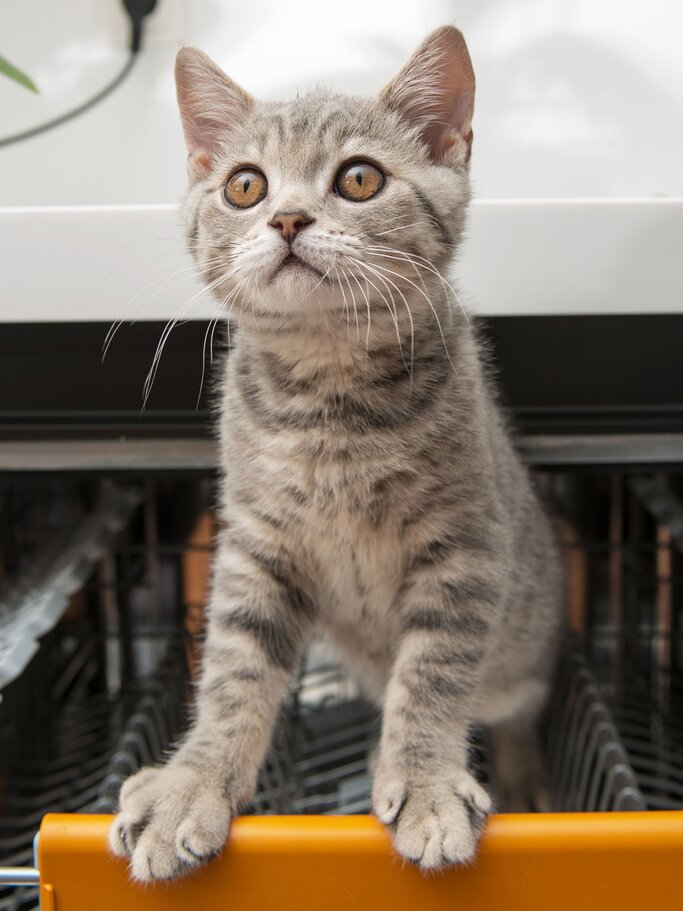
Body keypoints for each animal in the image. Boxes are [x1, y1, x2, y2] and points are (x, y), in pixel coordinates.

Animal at [109, 25, 564, 880]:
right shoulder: (257, 546)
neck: (327, 400)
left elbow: (430, 674)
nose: (287, 219)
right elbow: (233, 669)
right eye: (244, 187)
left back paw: (521, 777)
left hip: (524, 639)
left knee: (512, 706)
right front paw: (193, 780)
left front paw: (424, 781)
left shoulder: (463, 548)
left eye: (359, 178)